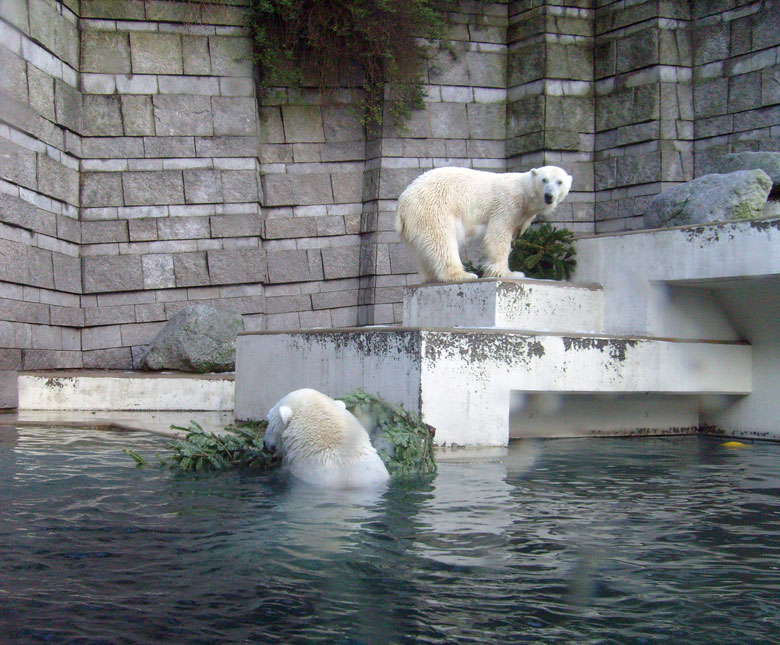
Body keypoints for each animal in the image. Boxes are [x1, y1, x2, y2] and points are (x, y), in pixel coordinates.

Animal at [396, 165, 572, 280]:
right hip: (434, 208)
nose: (549, 195)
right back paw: (463, 274)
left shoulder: (521, 215)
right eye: (544, 180)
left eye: (559, 182)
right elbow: (498, 236)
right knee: (442, 241)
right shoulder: (507, 205)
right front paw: (509, 273)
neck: (525, 194)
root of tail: (402, 203)